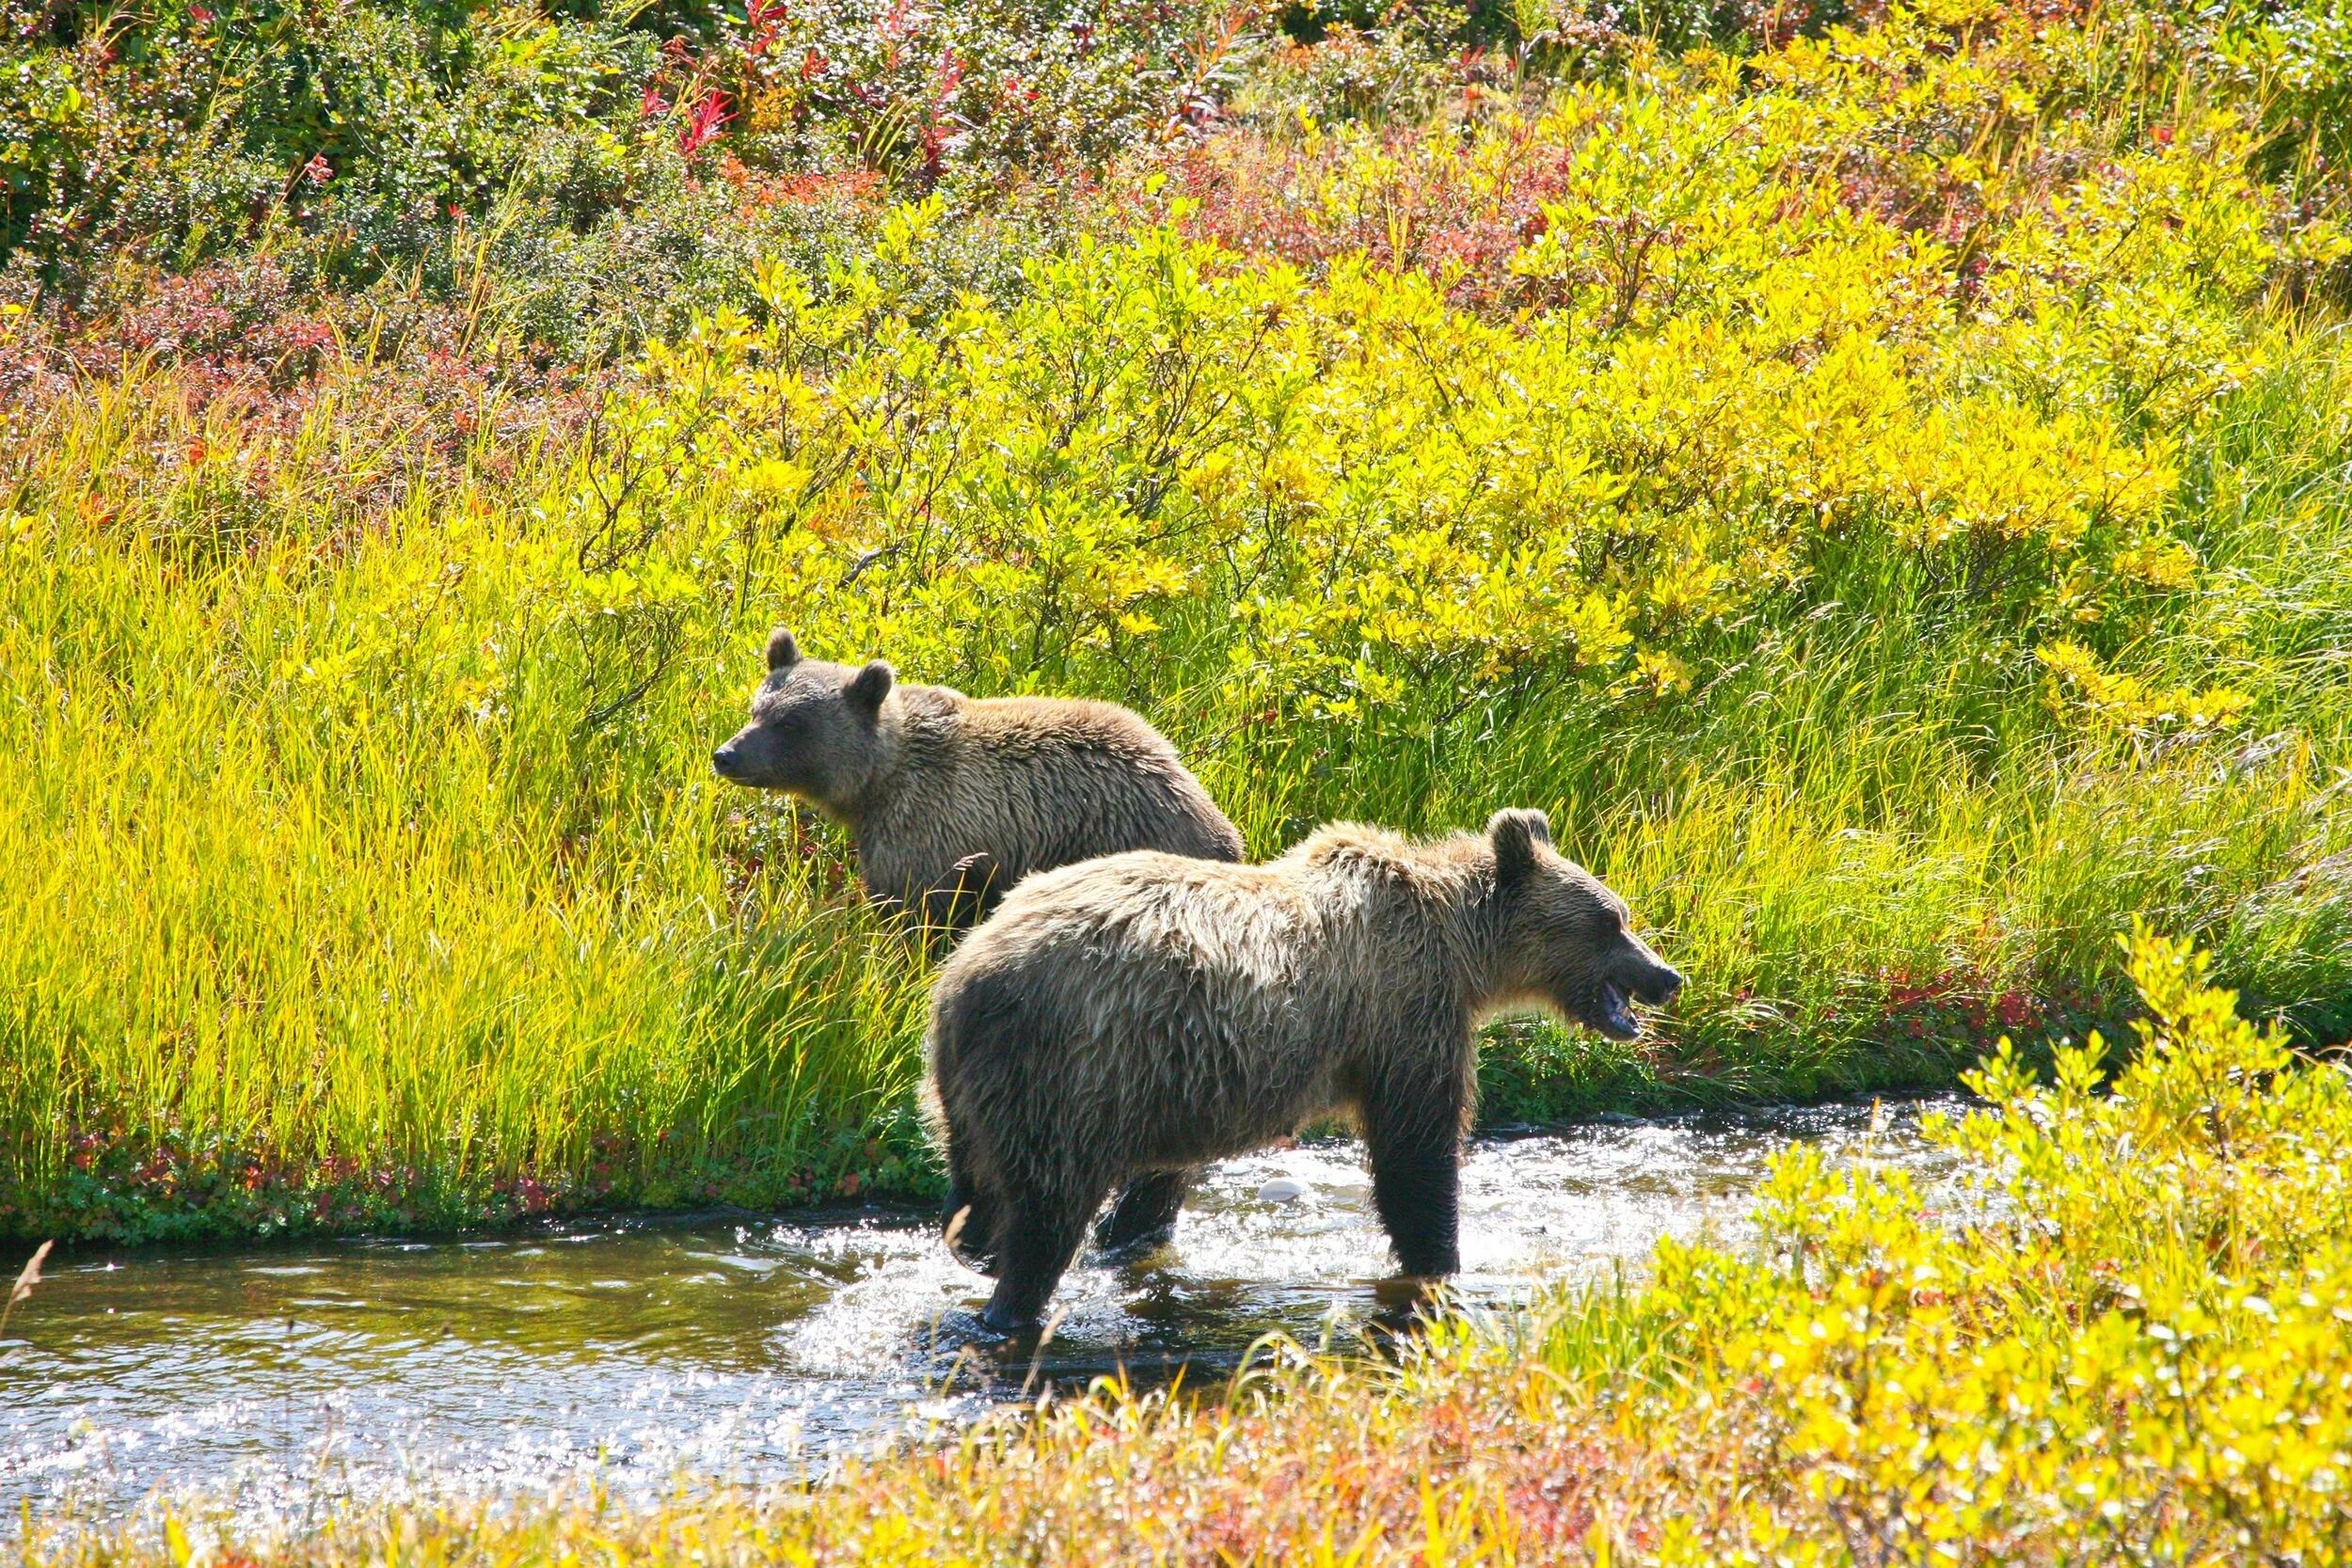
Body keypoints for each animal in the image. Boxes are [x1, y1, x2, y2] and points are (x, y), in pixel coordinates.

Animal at [706, 629, 1251, 1259]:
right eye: (758, 706)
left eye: (792, 723)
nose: (728, 754)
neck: (876, 786)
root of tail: (1220, 828)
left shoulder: (930, 837)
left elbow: (913, 928)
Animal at [917, 817, 1675, 1335]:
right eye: (1611, 920)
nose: (1667, 975)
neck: (1463, 950)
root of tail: (967, 976)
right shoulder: (1406, 1015)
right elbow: (1416, 1153)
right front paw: (1441, 1257)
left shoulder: (1180, 1082)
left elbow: (1160, 1179)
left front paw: (1133, 1232)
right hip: (1066, 1067)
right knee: (1046, 1208)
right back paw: (1012, 1304)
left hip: (973, 1088)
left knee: (977, 1188)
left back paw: (979, 1252)